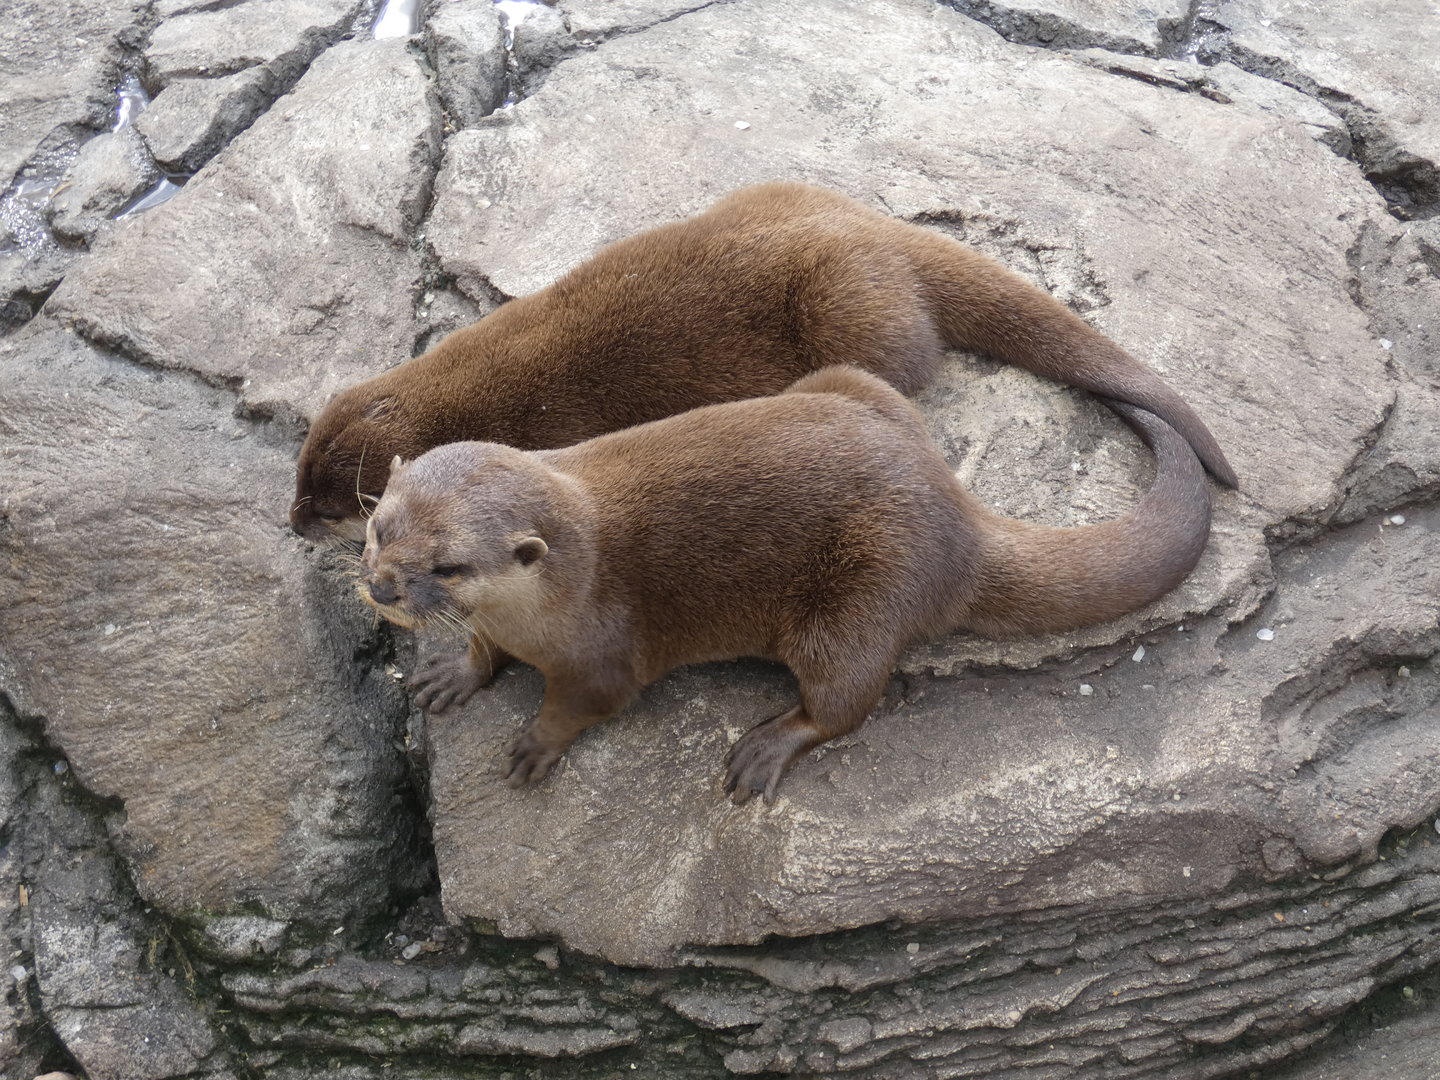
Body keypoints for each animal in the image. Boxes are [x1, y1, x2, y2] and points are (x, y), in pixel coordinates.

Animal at [292, 182, 1236, 540]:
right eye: (300, 472)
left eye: (338, 505)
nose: (294, 526)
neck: (476, 378)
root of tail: (869, 227)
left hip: (848, 302)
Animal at [356, 366, 1211, 804]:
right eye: (378, 527)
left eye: (449, 566)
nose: (384, 587)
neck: (559, 590)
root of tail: (957, 517)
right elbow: (480, 649)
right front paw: (453, 674)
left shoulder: (604, 650)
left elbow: (586, 702)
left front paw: (536, 743)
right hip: (844, 383)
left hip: (866, 589)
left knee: (846, 700)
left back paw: (766, 747)